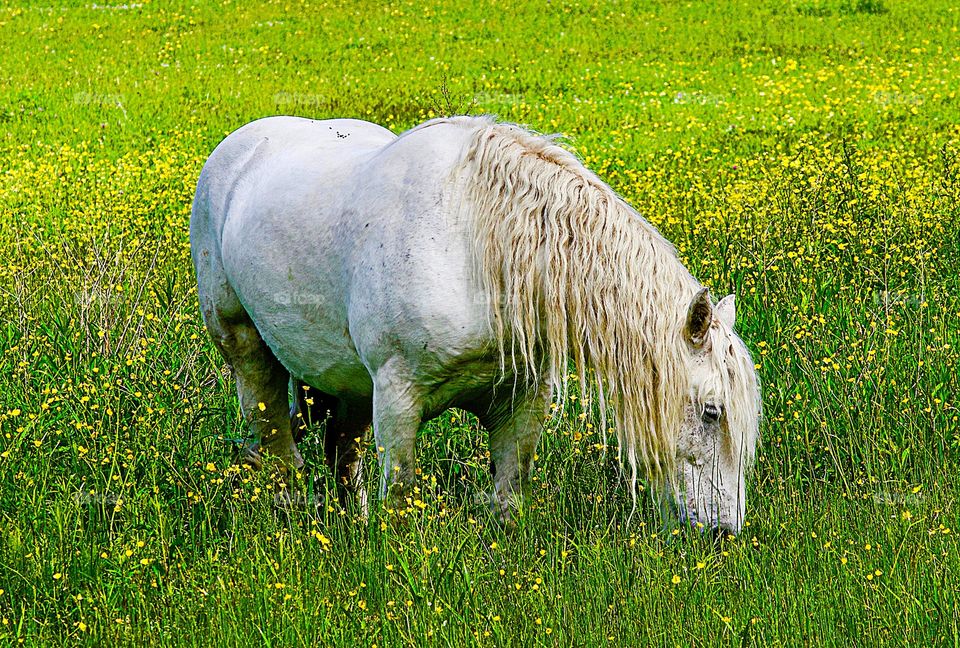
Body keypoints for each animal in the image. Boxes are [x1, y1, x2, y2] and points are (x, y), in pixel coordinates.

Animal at [190, 115, 761, 534]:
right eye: (711, 412)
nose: (722, 531)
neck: (475, 249)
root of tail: (239, 148)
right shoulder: (396, 398)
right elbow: (399, 498)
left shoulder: (522, 402)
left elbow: (509, 499)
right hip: (247, 349)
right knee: (276, 442)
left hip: (345, 383)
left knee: (340, 452)